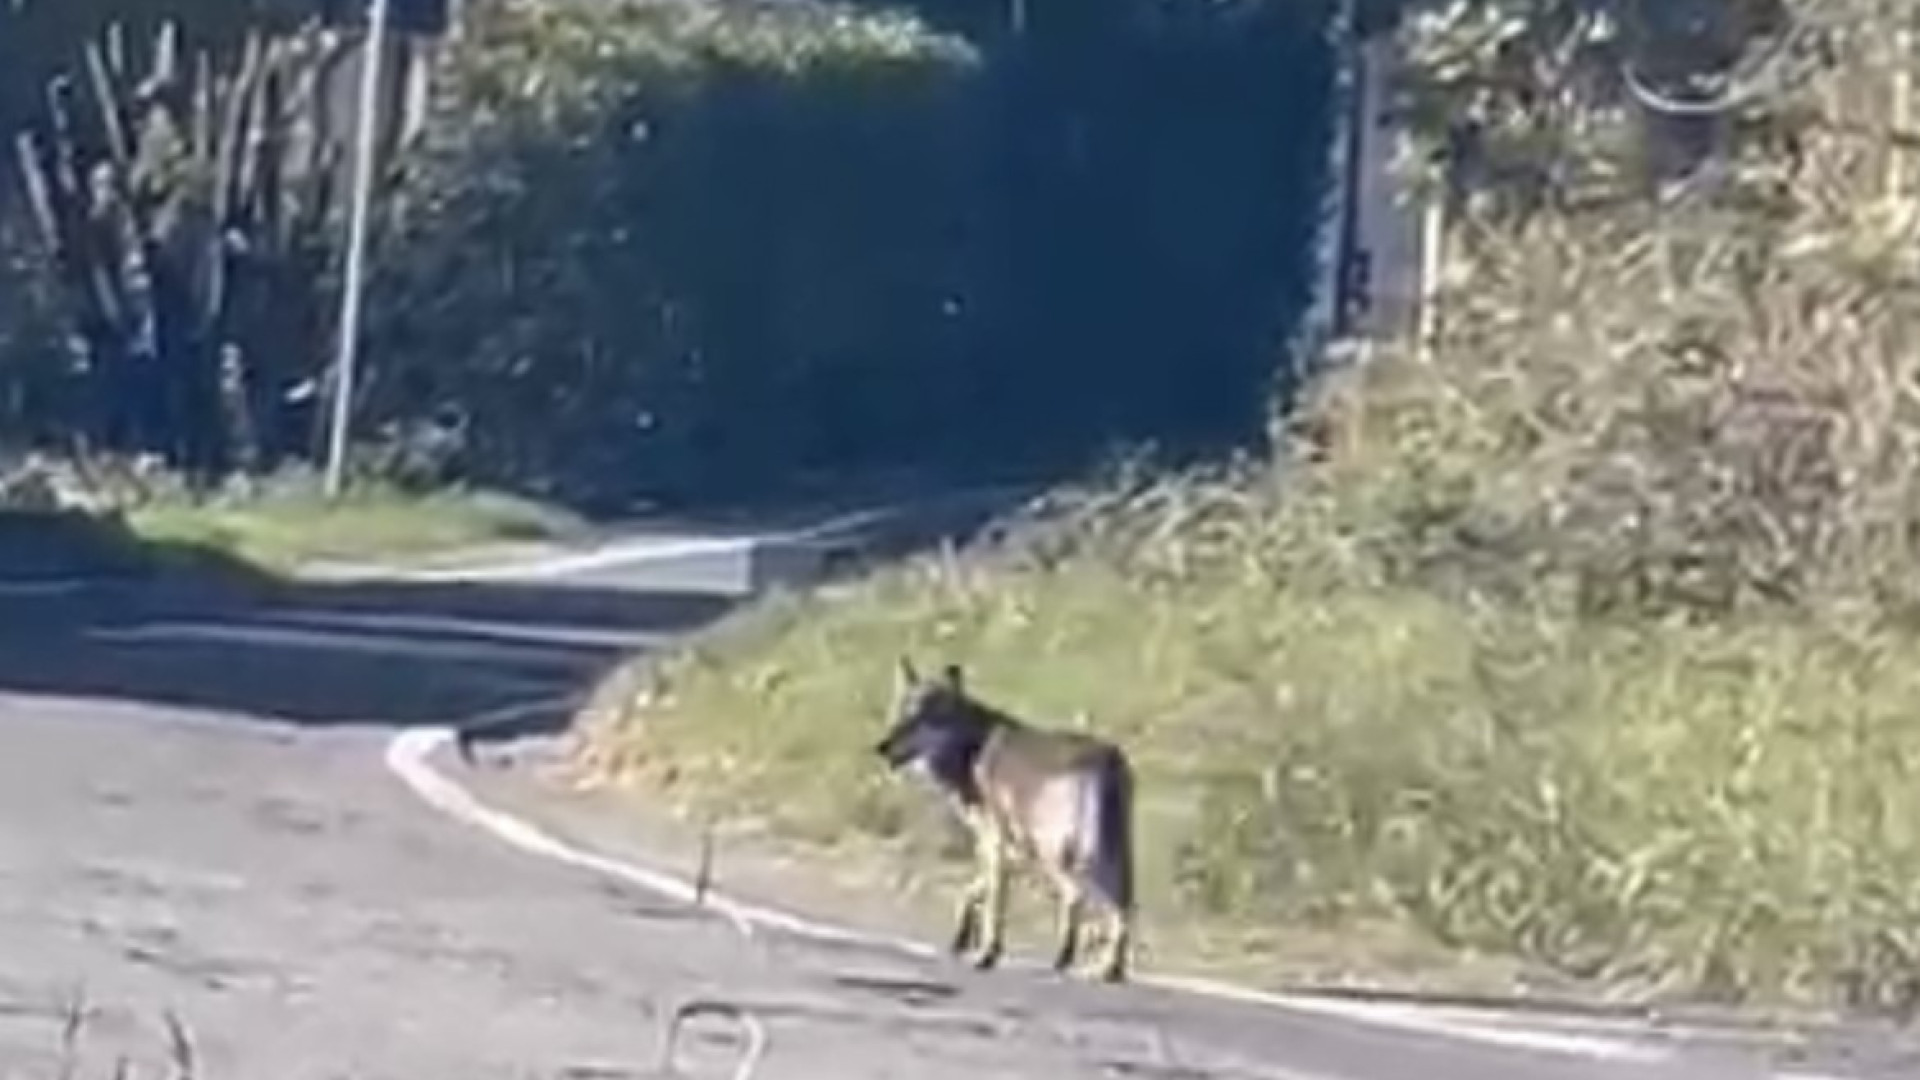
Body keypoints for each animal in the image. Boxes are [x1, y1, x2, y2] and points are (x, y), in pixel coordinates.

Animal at [872, 657, 1136, 983]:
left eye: (920, 719)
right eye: (898, 714)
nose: (882, 747)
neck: (971, 750)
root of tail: (1108, 761)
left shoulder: (996, 844)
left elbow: (993, 906)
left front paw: (987, 954)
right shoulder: (1012, 851)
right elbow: (971, 892)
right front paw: (961, 938)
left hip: (1062, 856)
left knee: (1078, 897)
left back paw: (1073, 960)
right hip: (1104, 857)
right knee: (1121, 907)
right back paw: (1107, 967)